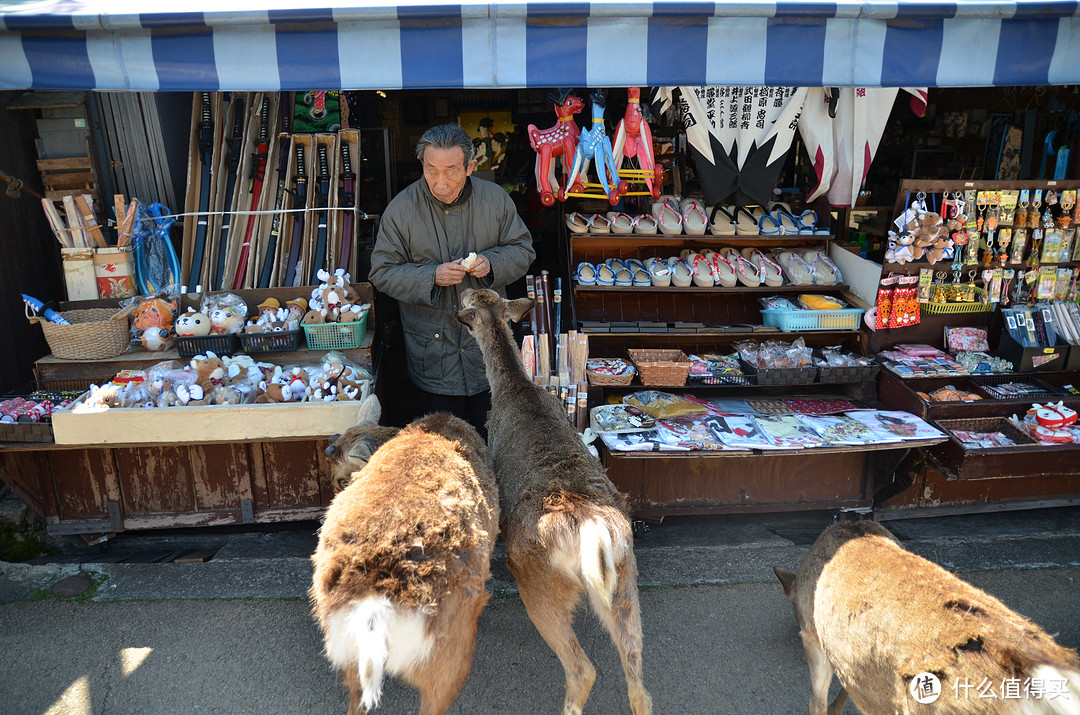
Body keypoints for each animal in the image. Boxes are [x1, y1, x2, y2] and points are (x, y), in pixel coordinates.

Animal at [453, 289, 648, 715]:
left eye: (470, 299)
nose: (462, 289)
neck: (514, 388)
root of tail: (596, 535)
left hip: (540, 582)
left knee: (582, 669)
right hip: (626, 577)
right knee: (636, 675)